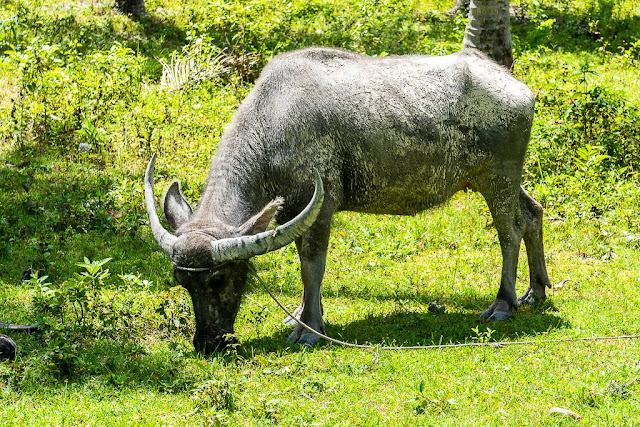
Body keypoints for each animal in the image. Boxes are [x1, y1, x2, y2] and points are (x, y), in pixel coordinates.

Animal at [144, 46, 552, 354]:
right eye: (182, 281)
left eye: (218, 279)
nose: (207, 343)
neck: (272, 126)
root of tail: (519, 87)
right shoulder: (294, 212)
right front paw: (302, 315)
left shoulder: (320, 208)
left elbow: (312, 267)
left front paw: (308, 330)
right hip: (497, 180)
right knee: (533, 213)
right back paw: (536, 290)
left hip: (497, 177)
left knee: (510, 230)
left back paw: (503, 303)